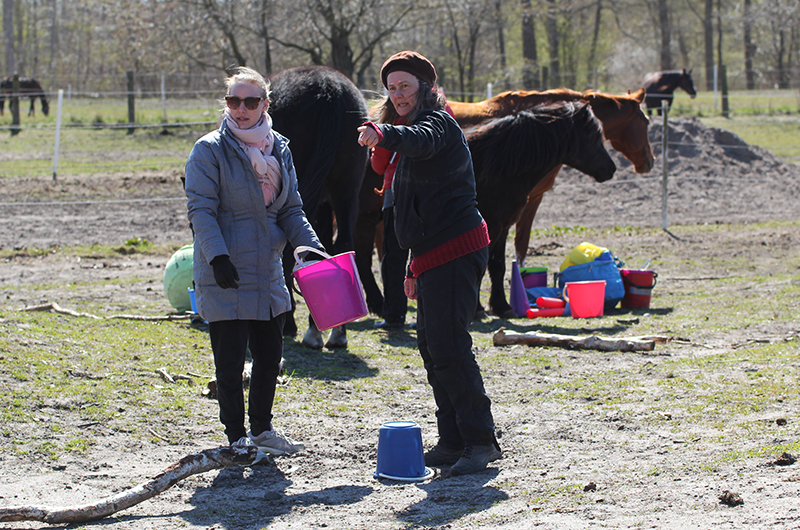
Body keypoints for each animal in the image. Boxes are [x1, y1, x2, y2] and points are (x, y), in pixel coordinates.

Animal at [468, 102, 620, 318]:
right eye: (592, 137)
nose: (611, 168)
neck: (497, 165)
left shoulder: (503, 226)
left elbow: (497, 265)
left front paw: (502, 307)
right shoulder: (491, 226)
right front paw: (478, 310)